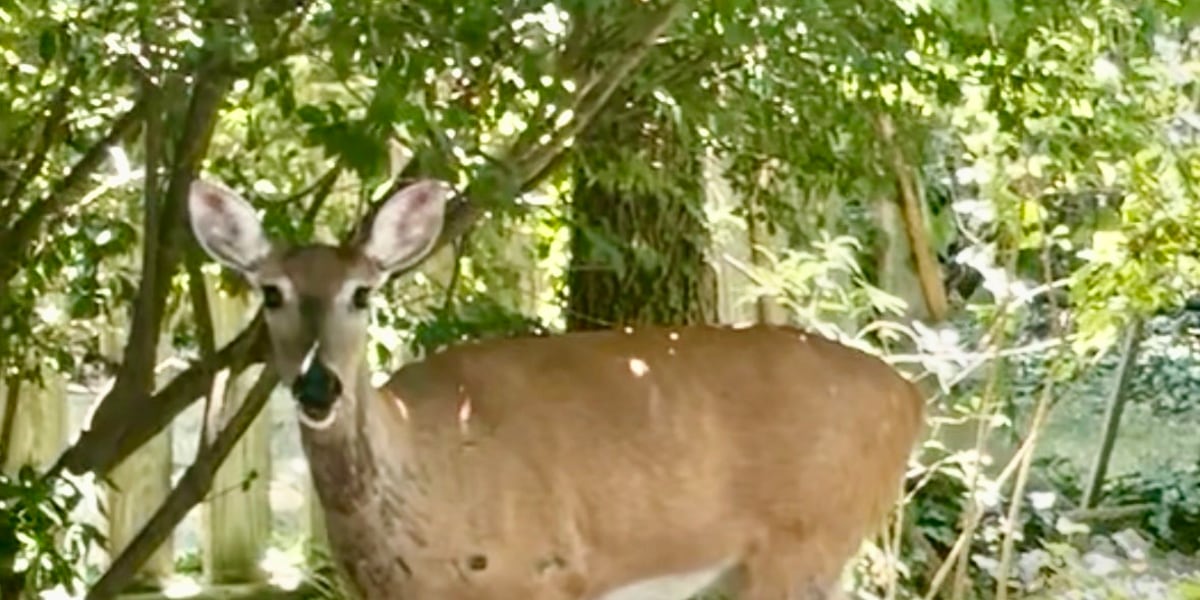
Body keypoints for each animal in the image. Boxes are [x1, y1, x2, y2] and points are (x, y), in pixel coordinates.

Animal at [187, 176, 926, 600]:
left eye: (362, 293)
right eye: (271, 292)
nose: (318, 386)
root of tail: (909, 395)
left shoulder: (549, 572)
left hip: (807, 539)